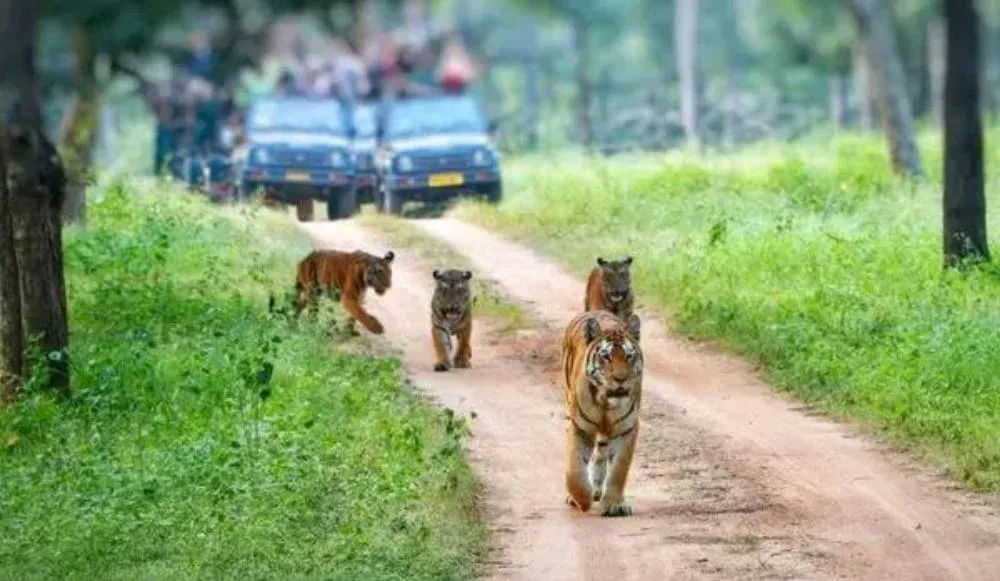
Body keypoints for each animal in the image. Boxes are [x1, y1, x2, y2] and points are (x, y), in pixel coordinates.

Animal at [561, 309, 643, 517]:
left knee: (600, 454)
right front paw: (582, 499)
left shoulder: (626, 429)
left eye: (629, 356)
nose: (620, 379)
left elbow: (619, 470)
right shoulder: (579, 427)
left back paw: (598, 489)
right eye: (606, 356)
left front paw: (614, 504)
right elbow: (574, 468)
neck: (606, 401)